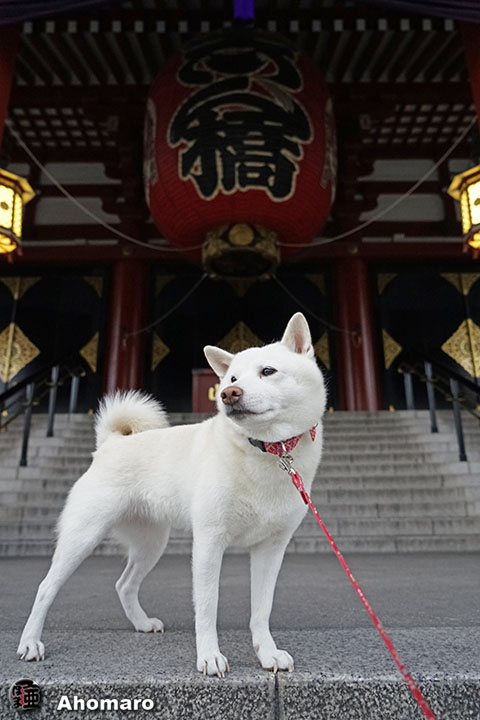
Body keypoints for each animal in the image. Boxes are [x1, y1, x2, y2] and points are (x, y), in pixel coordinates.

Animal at [18, 312, 326, 676]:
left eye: (268, 371)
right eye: (232, 378)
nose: (228, 393)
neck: (268, 451)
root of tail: (110, 443)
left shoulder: (271, 548)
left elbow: (261, 610)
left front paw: (267, 653)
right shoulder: (209, 542)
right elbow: (207, 608)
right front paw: (209, 657)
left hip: (151, 543)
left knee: (124, 584)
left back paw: (141, 623)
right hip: (83, 536)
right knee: (45, 588)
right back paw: (30, 643)